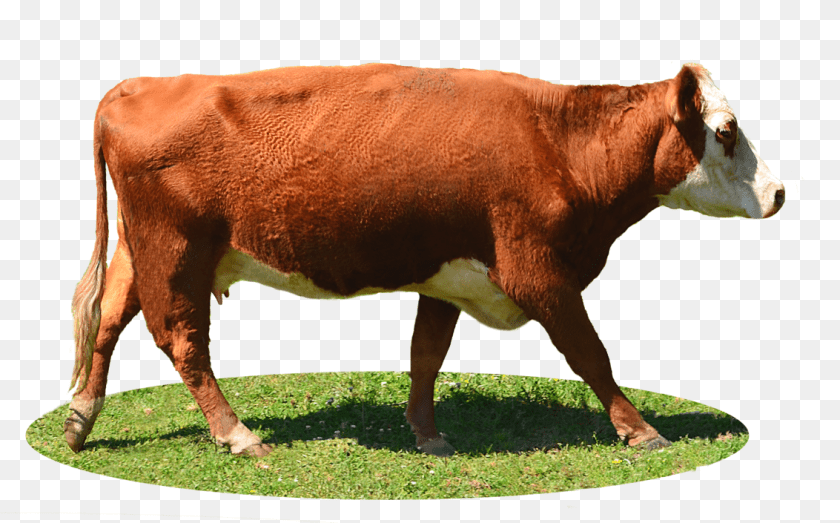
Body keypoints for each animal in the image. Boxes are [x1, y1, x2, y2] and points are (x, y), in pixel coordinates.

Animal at [65, 63, 784, 458]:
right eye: (725, 130)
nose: (779, 192)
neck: (561, 143)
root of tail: (136, 86)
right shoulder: (537, 270)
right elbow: (590, 353)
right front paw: (641, 429)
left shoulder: (447, 275)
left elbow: (426, 354)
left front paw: (426, 433)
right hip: (176, 249)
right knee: (182, 341)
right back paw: (237, 434)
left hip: (144, 248)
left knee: (108, 318)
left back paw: (80, 419)